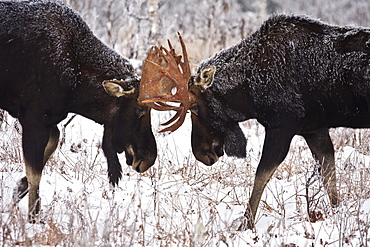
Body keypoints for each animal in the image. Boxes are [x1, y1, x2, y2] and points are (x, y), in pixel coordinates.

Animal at [0, 0, 157, 220]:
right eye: (140, 110)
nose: (150, 158)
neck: (76, 87)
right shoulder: (33, 119)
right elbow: (35, 172)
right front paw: (33, 217)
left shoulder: (49, 119)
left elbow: (50, 148)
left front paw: (18, 189)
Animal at [139, 14, 370, 228]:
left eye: (195, 107)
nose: (202, 153)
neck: (248, 95)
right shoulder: (315, 129)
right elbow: (329, 177)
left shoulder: (282, 126)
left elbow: (261, 174)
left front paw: (246, 223)